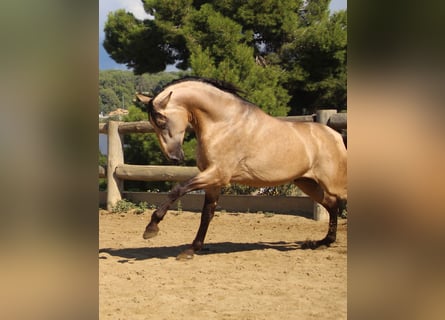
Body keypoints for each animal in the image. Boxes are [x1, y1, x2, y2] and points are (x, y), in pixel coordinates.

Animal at [135, 77, 346, 260]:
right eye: (153, 123)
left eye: (161, 120)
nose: (174, 157)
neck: (223, 123)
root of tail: (335, 135)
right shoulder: (213, 181)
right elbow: (206, 214)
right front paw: (191, 250)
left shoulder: (218, 174)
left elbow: (177, 190)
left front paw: (151, 228)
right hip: (307, 183)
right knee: (331, 204)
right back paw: (323, 242)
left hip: (332, 183)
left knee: (337, 203)